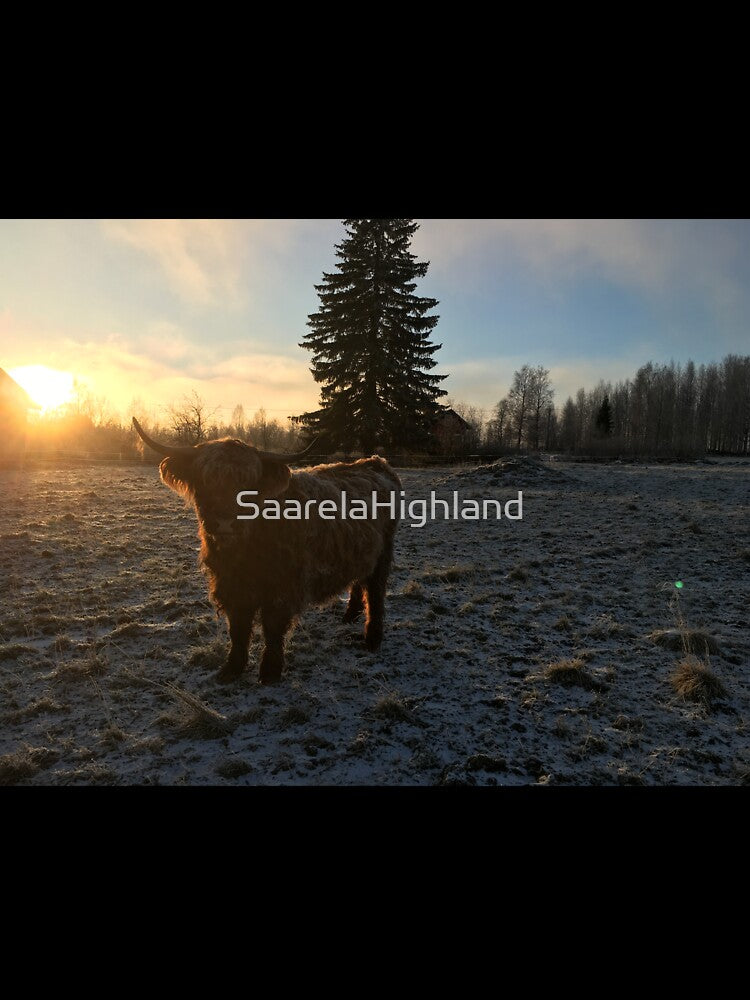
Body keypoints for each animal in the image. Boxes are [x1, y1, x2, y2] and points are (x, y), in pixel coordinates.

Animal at [132, 418, 401, 684]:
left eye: (249, 484)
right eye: (205, 480)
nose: (225, 522)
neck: (243, 552)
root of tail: (375, 462)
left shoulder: (281, 588)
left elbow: (272, 628)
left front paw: (270, 671)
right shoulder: (231, 586)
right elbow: (238, 629)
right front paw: (232, 668)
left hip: (384, 552)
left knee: (375, 592)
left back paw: (372, 638)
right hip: (361, 551)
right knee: (360, 581)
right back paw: (350, 615)